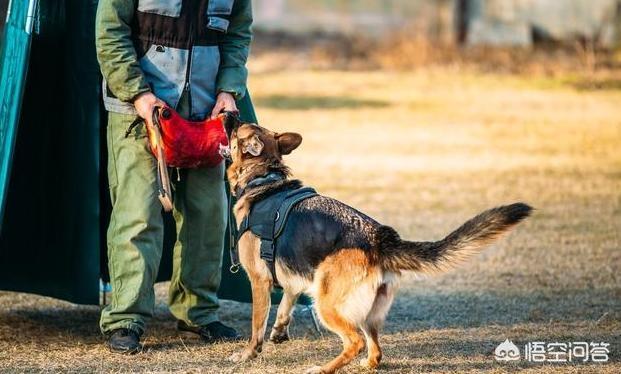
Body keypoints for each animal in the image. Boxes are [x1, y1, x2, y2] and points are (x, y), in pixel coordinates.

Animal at [225, 122, 532, 372]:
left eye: (237, 129)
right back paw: (361, 364)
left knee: (355, 342)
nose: (230, 113)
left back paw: (322, 369)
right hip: (366, 311)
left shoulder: (259, 280)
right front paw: (279, 330)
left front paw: (248, 354)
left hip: (327, 305)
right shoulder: (294, 274)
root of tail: (381, 239)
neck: (263, 178)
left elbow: (256, 326)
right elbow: (286, 302)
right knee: (375, 353)